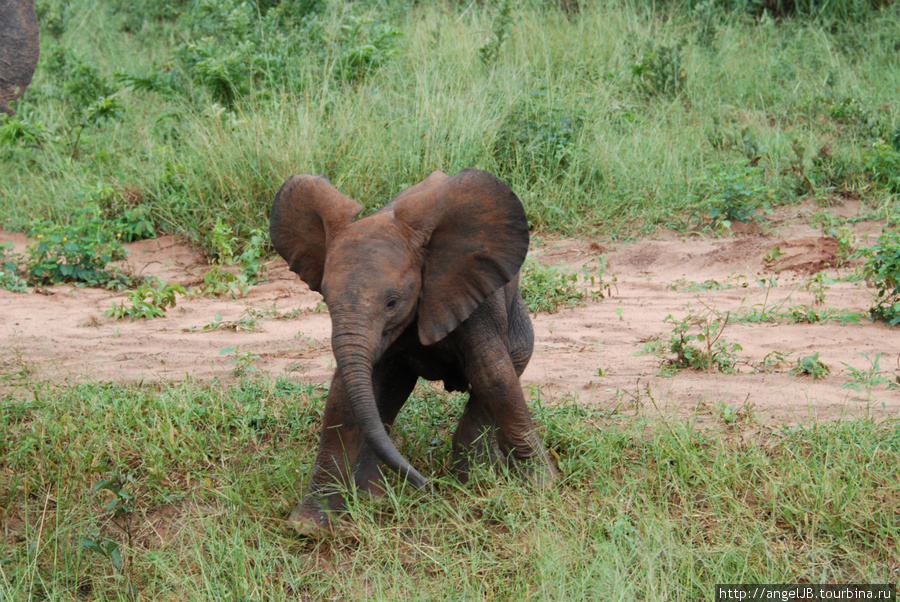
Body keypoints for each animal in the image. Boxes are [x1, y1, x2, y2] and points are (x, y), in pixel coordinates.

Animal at [270, 166, 560, 532]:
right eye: (326, 299)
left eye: (392, 302)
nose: (429, 488)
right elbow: (342, 398)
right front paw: (307, 527)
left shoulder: (467, 294)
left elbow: (493, 375)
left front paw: (542, 488)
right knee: (388, 392)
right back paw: (376, 496)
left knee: (500, 373)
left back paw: (475, 481)